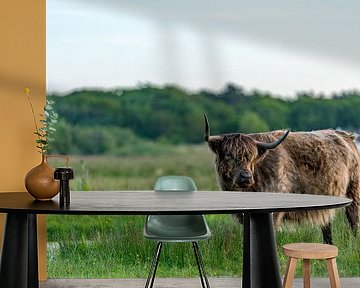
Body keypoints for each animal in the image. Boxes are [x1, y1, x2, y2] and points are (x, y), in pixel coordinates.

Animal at [204, 113, 360, 244]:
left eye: (252, 157)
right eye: (228, 155)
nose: (246, 176)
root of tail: (346, 135)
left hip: (354, 191)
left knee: (354, 220)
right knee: (326, 224)